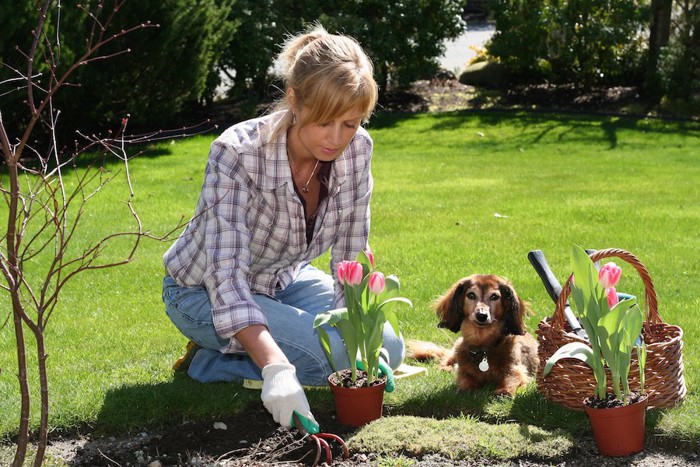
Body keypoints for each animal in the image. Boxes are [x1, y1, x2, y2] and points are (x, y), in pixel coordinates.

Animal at [408, 274, 540, 398]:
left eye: (494, 297)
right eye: (471, 295)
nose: (481, 315)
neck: (483, 347)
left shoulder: (516, 369)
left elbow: (511, 378)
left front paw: (504, 391)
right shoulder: (464, 370)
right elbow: (465, 379)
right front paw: (465, 389)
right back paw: (446, 367)